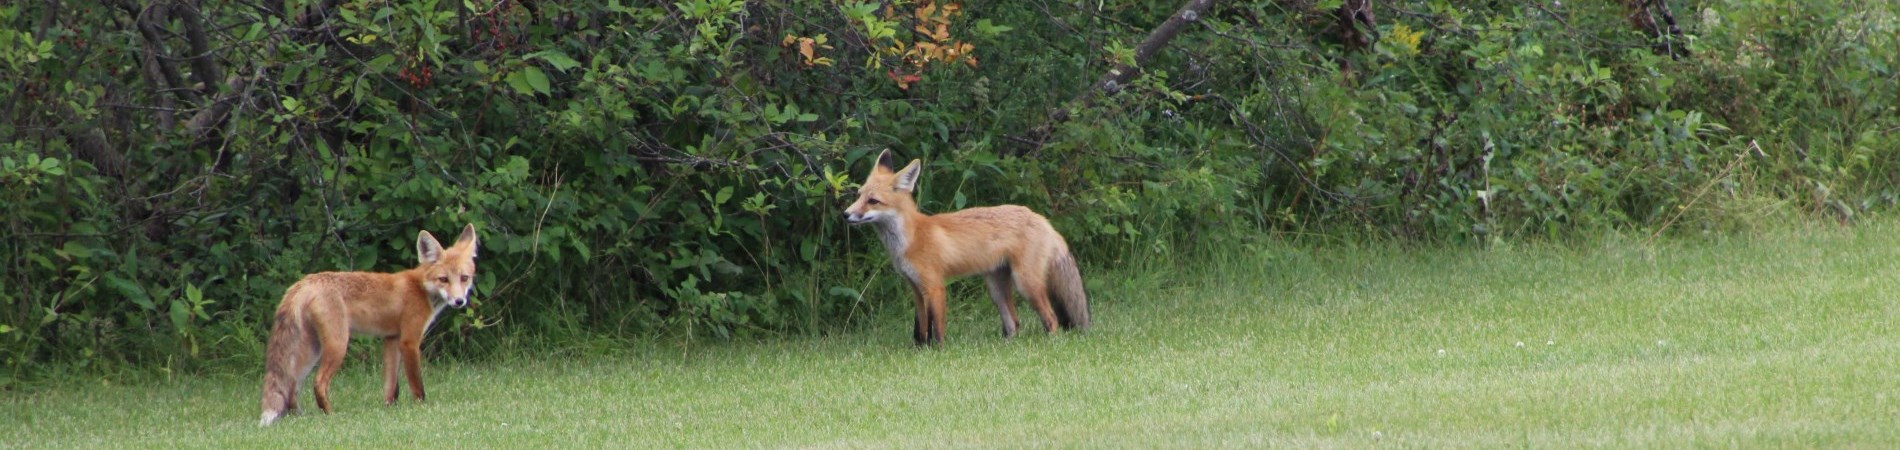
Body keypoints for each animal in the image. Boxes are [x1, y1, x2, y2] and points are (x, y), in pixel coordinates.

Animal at [258, 224, 478, 425]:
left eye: (464, 278)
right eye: (444, 279)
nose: (459, 301)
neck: (420, 289)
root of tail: (305, 281)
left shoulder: (392, 339)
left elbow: (391, 387)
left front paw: (389, 409)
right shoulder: (409, 341)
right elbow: (417, 385)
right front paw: (421, 408)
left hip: (312, 349)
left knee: (292, 384)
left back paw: (298, 417)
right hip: (338, 345)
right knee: (318, 383)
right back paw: (330, 415)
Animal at [843, 149, 1094, 345]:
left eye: (873, 201)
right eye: (858, 195)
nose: (845, 214)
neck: (910, 239)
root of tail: (1041, 218)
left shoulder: (934, 287)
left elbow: (936, 329)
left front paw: (937, 352)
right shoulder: (915, 289)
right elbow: (920, 330)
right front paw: (919, 351)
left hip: (1026, 283)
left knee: (1051, 319)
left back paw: (1051, 342)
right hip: (996, 288)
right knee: (1014, 324)